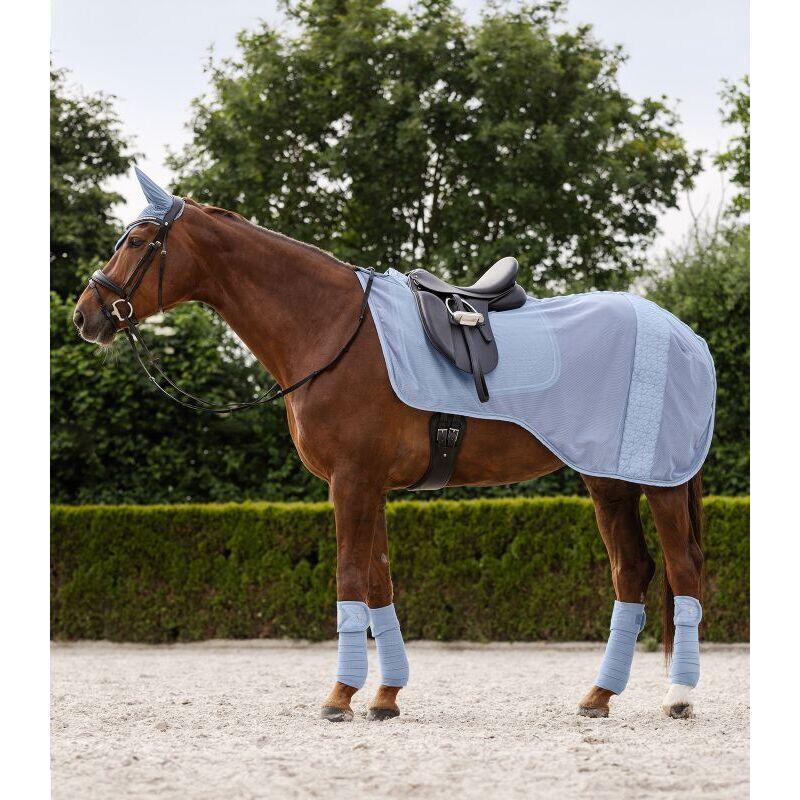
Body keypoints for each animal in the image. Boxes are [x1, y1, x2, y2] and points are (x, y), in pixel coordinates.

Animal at [73, 171, 707, 723]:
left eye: (136, 241)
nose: (86, 315)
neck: (331, 329)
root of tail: (682, 333)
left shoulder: (352, 481)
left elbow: (351, 579)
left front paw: (339, 697)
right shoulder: (368, 485)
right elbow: (379, 582)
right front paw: (385, 696)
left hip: (661, 483)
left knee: (682, 569)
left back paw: (678, 697)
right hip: (608, 482)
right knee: (633, 571)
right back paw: (599, 695)